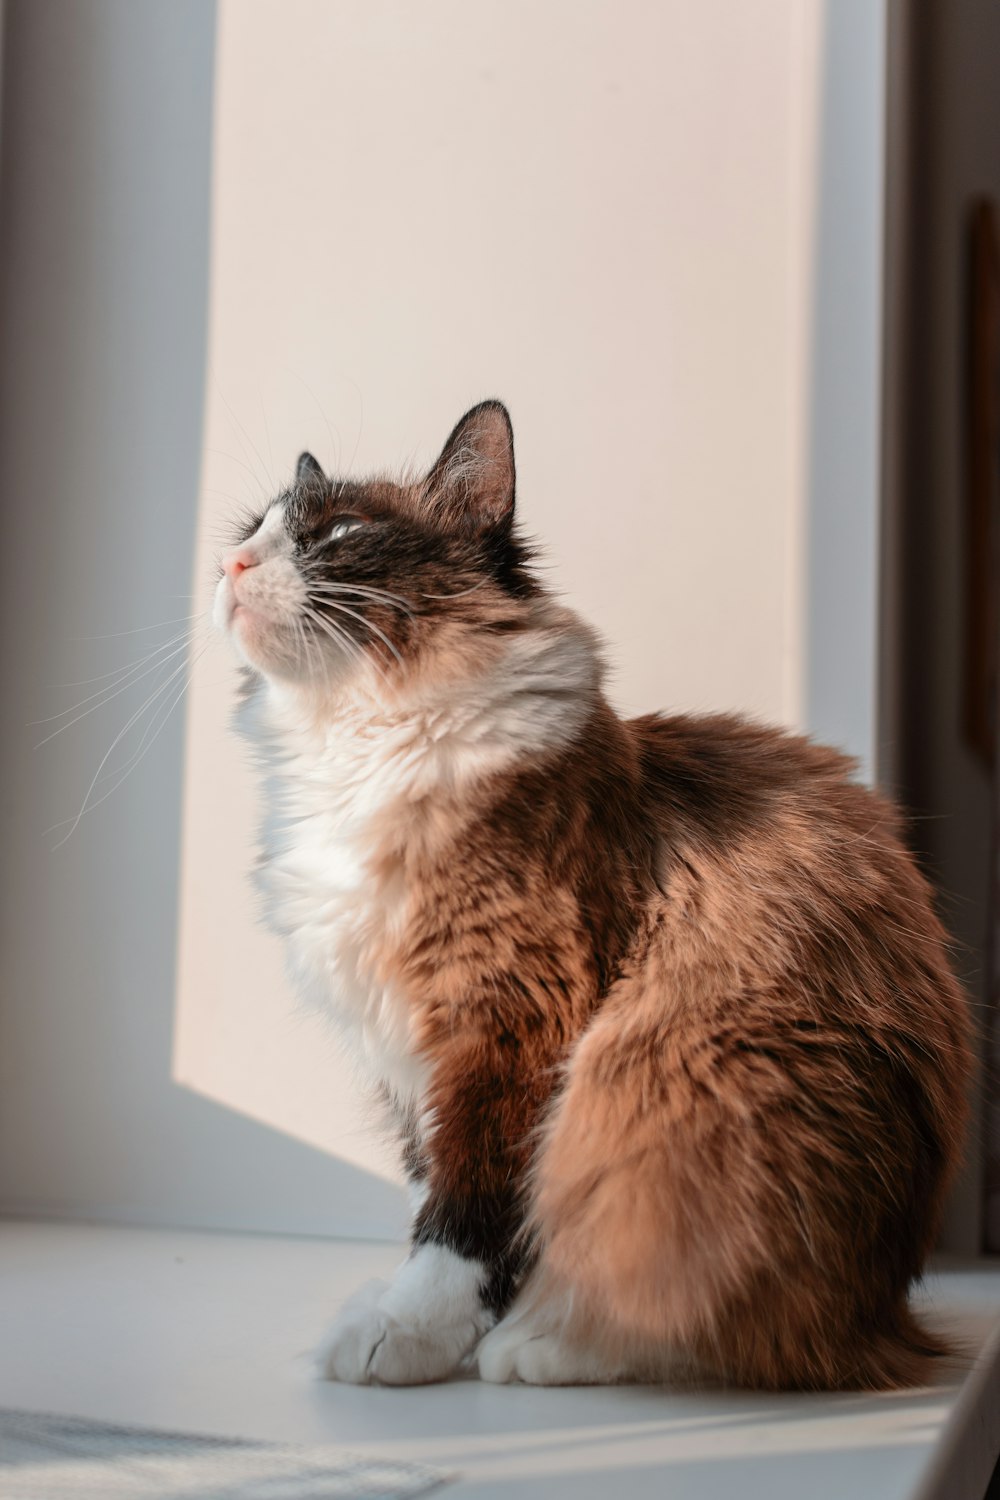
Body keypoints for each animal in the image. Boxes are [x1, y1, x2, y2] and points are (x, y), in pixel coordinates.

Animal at [215, 402, 971, 1392]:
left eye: (337, 532)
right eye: (251, 531)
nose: (230, 566)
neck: (356, 744)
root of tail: (892, 1319)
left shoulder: (510, 1019)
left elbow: (468, 1214)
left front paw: (406, 1331)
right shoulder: (407, 1053)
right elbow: (440, 1186)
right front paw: (444, 1328)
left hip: (674, 1071)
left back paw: (545, 1345)